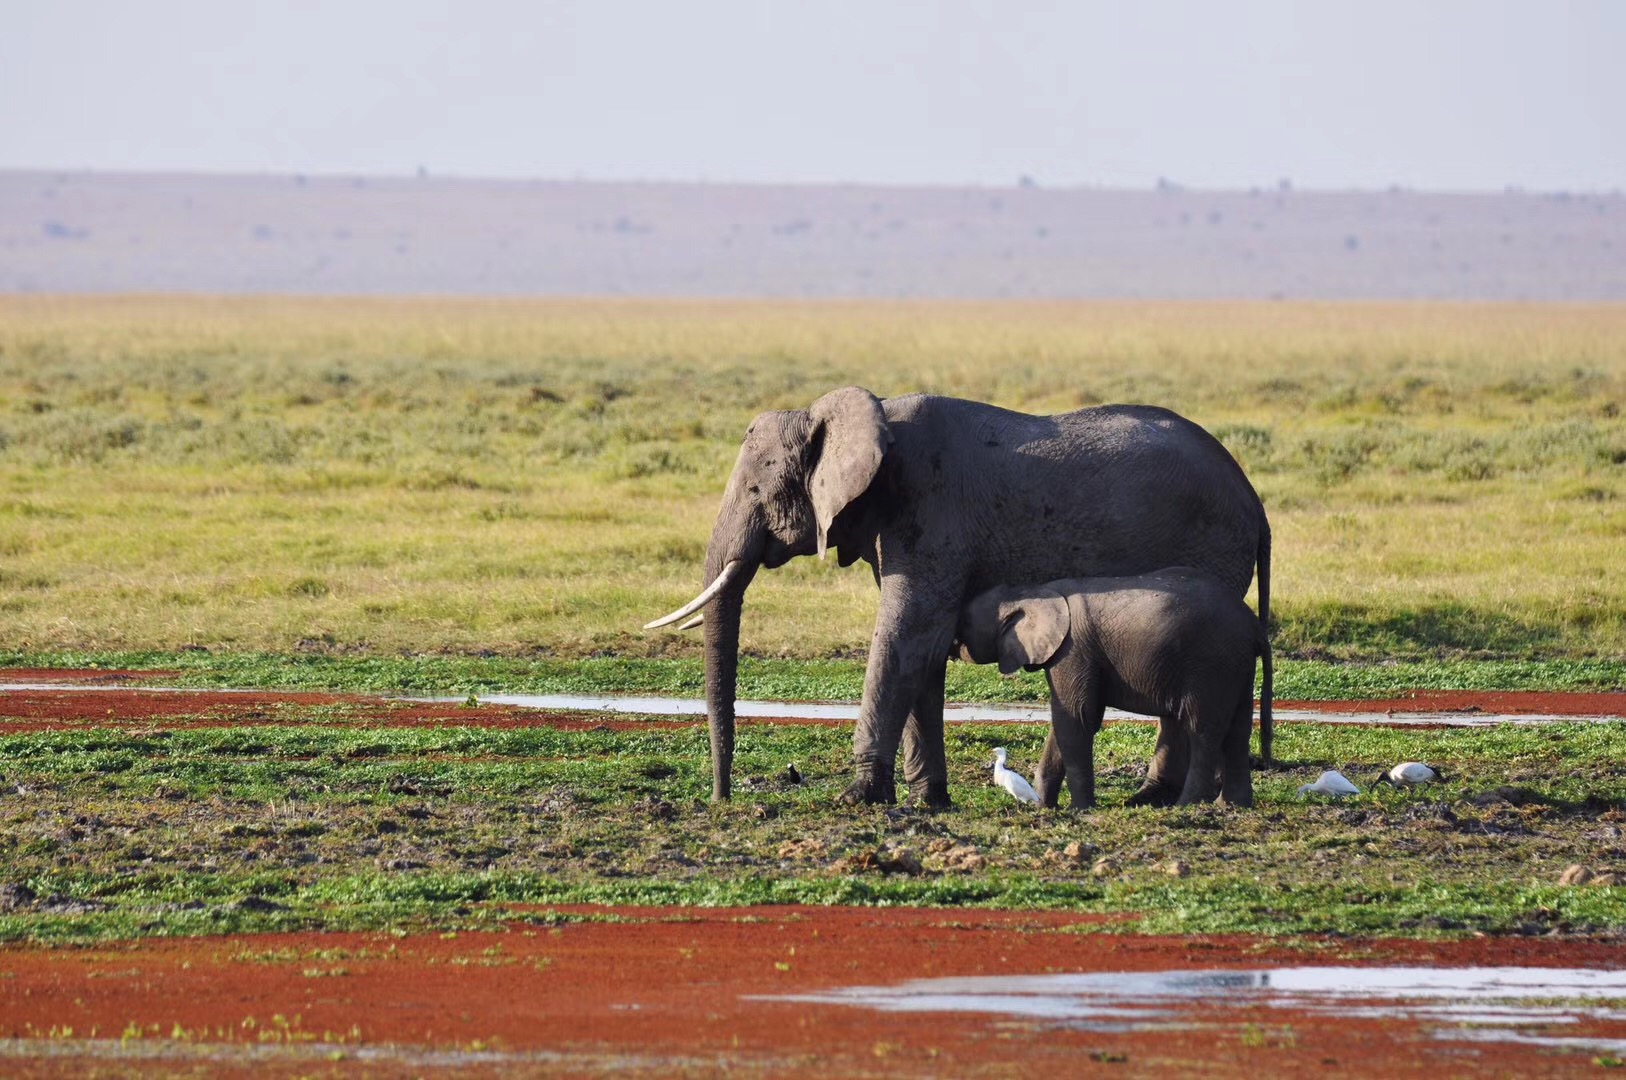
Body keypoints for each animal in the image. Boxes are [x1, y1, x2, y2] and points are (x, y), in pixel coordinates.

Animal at [956, 569, 1274, 806]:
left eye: (965, 620)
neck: (1032, 592)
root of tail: (1254, 625)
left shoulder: (1074, 651)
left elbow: (1076, 718)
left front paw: (1079, 809)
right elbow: (1066, 720)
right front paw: (1043, 806)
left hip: (1210, 663)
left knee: (1203, 730)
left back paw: (1186, 805)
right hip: (1236, 665)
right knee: (1238, 729)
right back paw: (1230, 806)